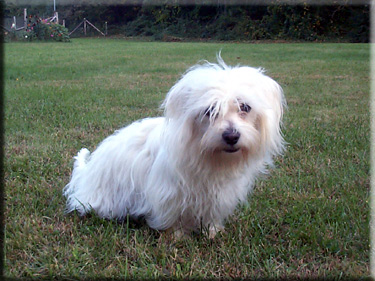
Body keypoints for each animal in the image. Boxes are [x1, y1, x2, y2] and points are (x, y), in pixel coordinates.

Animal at [63, 55, 286, 237]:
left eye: (245, 107)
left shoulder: (218, 196)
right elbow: (175, 217)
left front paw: (212, 231)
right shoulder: (169, 193)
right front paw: (178, 236)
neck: (208, 156)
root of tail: (87, 174)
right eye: (209, 111)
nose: (231, 136)